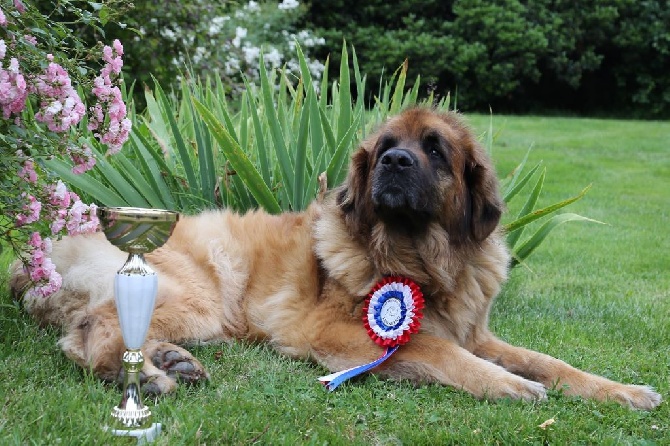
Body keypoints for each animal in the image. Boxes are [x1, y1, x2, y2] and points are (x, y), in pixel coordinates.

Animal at [10, 107, 660, 408]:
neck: (419, 259)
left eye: (434, 150)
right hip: (190, 296)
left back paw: (170, 362)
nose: (394, 162)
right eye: (386, 148)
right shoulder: (336, 331)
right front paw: (505, 384)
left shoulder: (478, 332)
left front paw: (622, 391)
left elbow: (549, 360)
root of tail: (41, 250)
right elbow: (438, 350)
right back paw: (149, 375)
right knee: (91, 331)